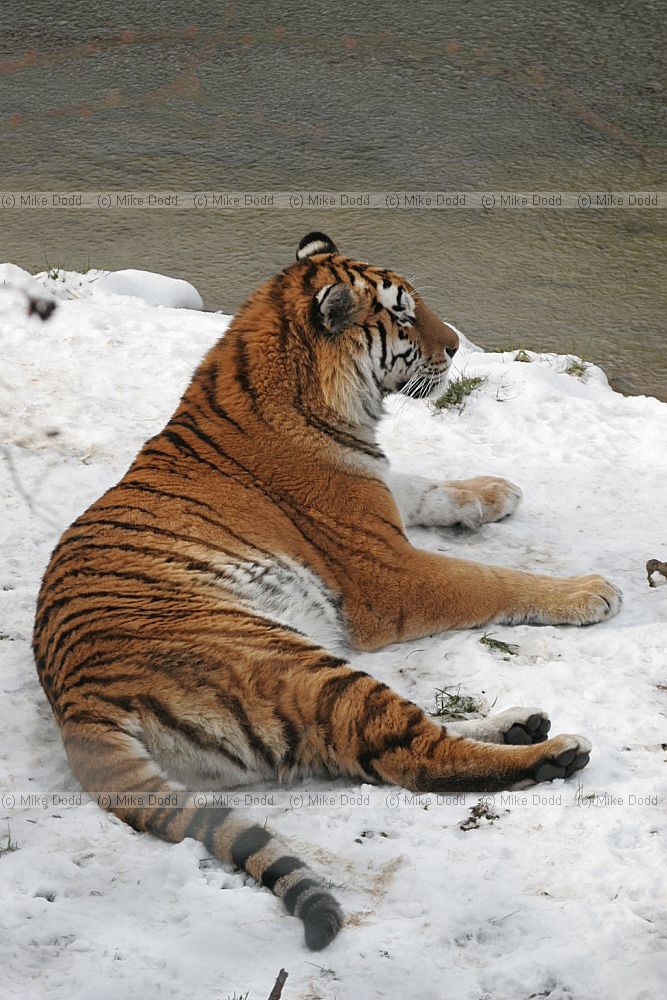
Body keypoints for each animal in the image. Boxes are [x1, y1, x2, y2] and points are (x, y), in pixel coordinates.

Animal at [33, 232, 621, 950]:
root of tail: (79, 706)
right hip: (294, 661)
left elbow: (422, 484)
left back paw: (521, 722)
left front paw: (493, 491)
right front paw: (591, 590)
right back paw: (550, 754)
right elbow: (490, 579)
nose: (456, 345)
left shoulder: (380, 501)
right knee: (413, 754)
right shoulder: (391, 576)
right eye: (402, 317)